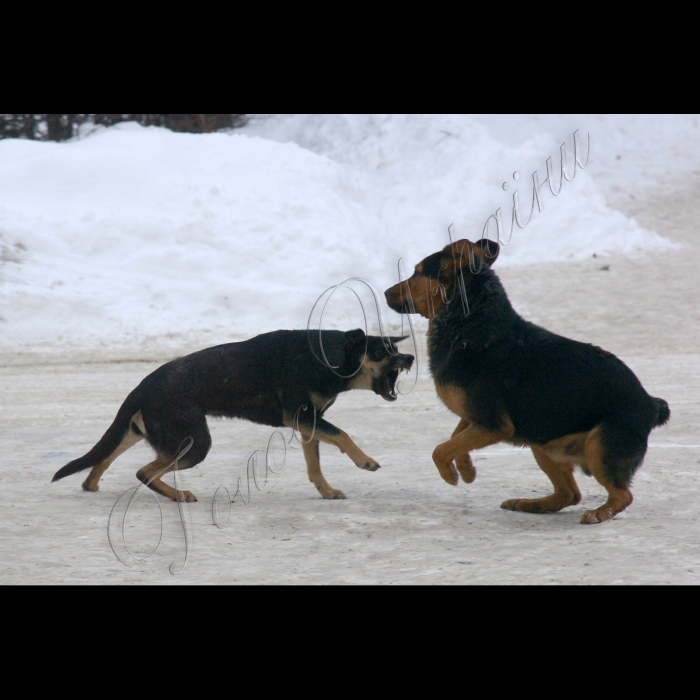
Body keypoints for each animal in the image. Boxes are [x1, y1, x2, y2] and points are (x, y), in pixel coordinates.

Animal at [56, 330, 416, 500]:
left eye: (396, 348)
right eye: (382, 351)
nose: (411, 357)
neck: (326, 357)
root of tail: (142, 386)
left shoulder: (307, 423)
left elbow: (314, 465)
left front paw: (326, 491)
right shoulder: (302, 418)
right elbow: (343, 434)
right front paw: (364, 461)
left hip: (141, 431)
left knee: (102, 459)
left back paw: (91, 483)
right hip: (195, 442)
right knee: (144, 472)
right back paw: (178, 495)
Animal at [386, 238, 668, 524]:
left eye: (417, 272)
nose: (386, 293)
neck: (471, 322)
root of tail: (651, 405)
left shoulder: (493, 425)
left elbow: (440, 450)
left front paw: (451, 474)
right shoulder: (476, 418)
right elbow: (455, 439)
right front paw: (466, 469)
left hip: (598, 447)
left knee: (622, 496)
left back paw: (598, 514)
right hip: (543, 442)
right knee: (569, 494)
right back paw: (531, 504)